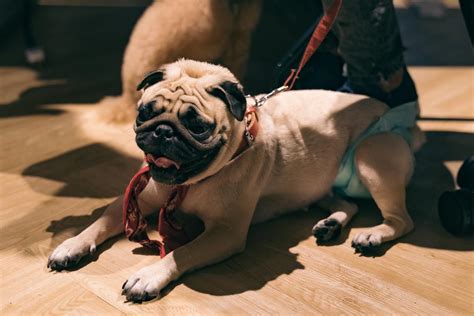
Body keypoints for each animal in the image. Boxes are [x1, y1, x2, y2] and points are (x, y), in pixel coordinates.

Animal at [49, 58, 426, 302]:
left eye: (197, 126)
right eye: (145, 113)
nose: (162, 131)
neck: (189, 183)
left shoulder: (225, 233)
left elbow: (182, 252)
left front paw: (150, 276)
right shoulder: (135, 201)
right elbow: (99, 222)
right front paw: (72, 244)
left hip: (371, 155)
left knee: (403, 220)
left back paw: (373, 235)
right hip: (323, 185)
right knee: (345, 202)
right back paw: (331, 224)